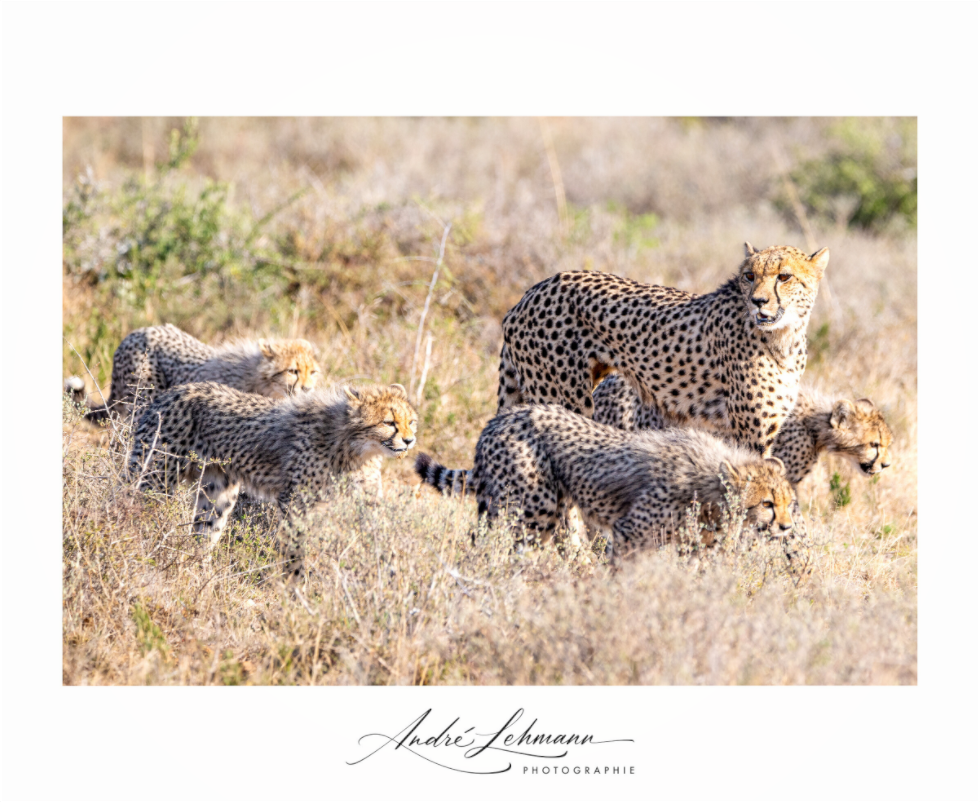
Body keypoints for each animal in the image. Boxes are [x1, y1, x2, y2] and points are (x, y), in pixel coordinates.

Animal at [128, 381, 418, 578]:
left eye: (411, 421)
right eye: (389, 422)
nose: (409, 440)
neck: (353, 447)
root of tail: (171, 392)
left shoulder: (368, 501)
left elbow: (382, 534)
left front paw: (392, 576)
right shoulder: (295, 502)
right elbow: (295, 548)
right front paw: (295, 585)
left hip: (219, 491)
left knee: (204, 534)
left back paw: (200, 572)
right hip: (155, 477)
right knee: (132, 510)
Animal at [414, 404, 796, 559]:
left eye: (789, 503)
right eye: (767, 504)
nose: (787, 527)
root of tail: (503, 416)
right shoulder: (629, 532)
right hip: (533, 507)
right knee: (503, 542)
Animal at [496, 243, 829, 458]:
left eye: (784, 276)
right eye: (749, 276)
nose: (758, 301)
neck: (784, 337)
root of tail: (532, 291)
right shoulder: (750, 434)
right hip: (563, 398)